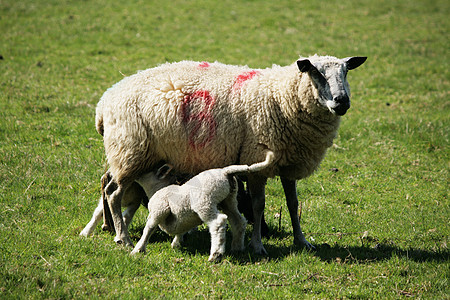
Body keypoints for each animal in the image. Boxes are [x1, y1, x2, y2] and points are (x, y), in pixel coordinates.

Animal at [130, 149, 274, 260]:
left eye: (145, 169)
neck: (158, 188)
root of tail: (225, 172)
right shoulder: (180, 219)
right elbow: (180, 230)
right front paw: (176, 243)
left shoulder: (158, 210)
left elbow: (149, 228)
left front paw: (138, 249)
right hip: (229, 200)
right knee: (239, 221)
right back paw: (237, 247)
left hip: (205, 203)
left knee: (218, 222)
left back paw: (216, 255)